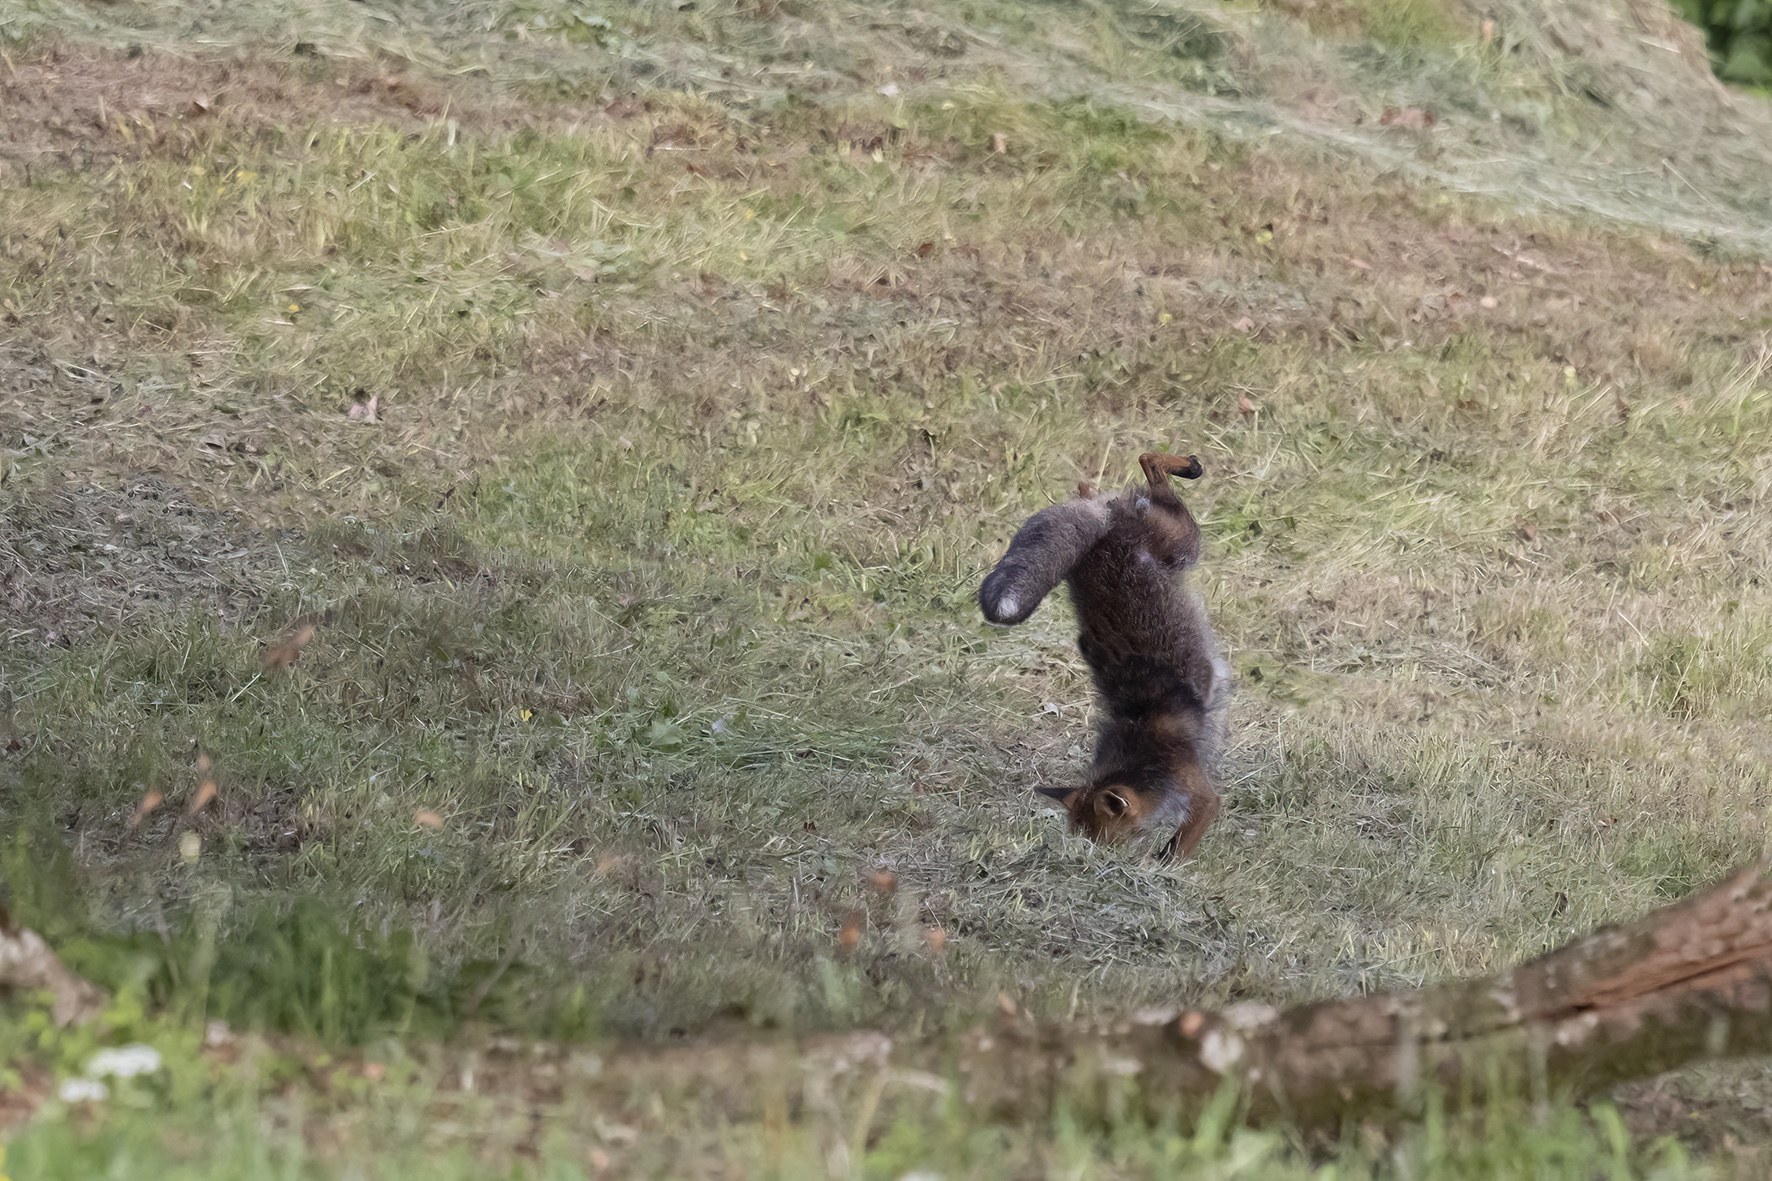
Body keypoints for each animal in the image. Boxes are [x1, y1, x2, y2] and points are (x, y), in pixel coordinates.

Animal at [979, 452, 1230, 861]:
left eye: (1106, 840)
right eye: (1085, 839)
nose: (1092, 861)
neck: (1140, 751)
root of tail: (1103, 519)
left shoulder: (1198, 789)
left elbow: (1176, 850)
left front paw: (1163, 871)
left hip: (1184, 542)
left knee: (1151, 466)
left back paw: (1188, 465)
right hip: (1175, 544)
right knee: (1134, 467)